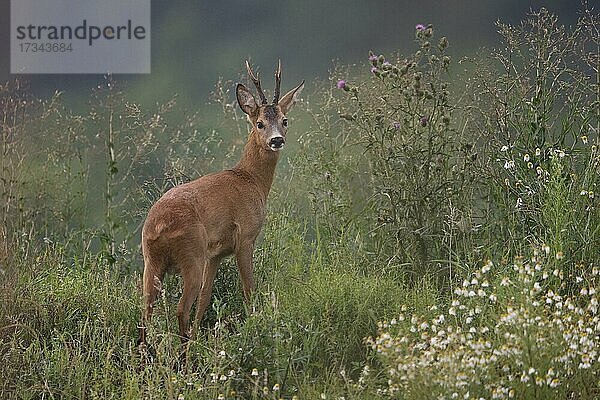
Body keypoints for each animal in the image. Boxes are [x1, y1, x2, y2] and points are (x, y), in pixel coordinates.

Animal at [138, 60, 302, 344]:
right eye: (260, 123)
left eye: (285, 120)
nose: (277, 140)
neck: (251, 180)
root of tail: (157, 227)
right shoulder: (246, 237)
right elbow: (248, 289)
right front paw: (254, 327)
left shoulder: (216, 254)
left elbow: (205, 300)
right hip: (192, 254)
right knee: (180, 309)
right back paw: (184, 352)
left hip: (152, 260)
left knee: (146, 311)